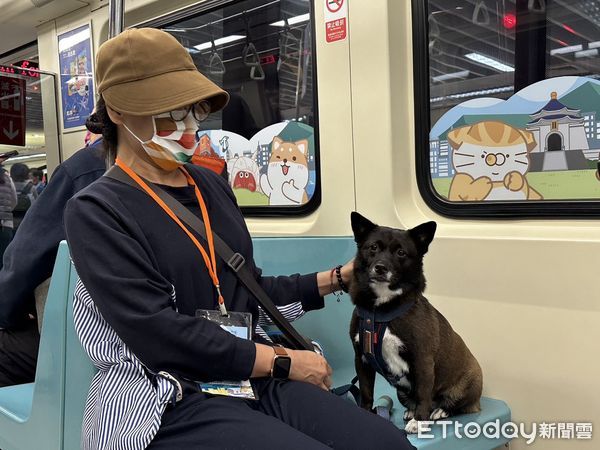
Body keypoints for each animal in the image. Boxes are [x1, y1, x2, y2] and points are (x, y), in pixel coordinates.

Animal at [346, 213, 482, 434]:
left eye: (401, 252)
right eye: (373, 247)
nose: (381, 268)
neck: (381, 310)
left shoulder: (422, 361)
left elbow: (423, 394)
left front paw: (419, 421)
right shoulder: (362, 360)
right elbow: (366, 394)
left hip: (467, 386)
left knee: (454, 404)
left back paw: (439, 411)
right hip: (401, 392)